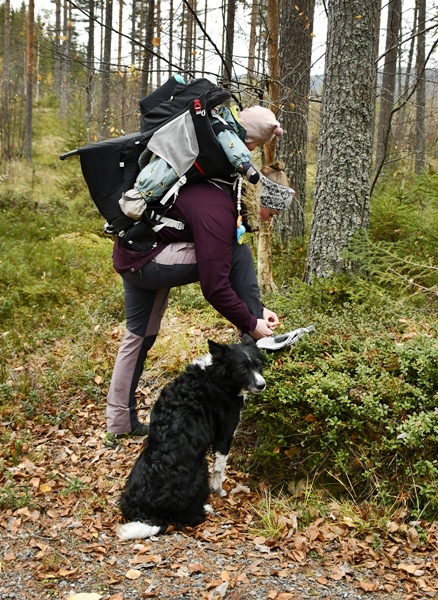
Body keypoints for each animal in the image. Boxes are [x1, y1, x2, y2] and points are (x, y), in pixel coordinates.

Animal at [118, 336, 266, 540]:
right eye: (242, 368)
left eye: (258, 365)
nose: (262, 385)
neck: (215, 376)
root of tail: (151, 515)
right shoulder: (225, 435)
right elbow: (219, 470)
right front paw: (219, 491)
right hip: (201, 467)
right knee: (192, 516)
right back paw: (206, 508)